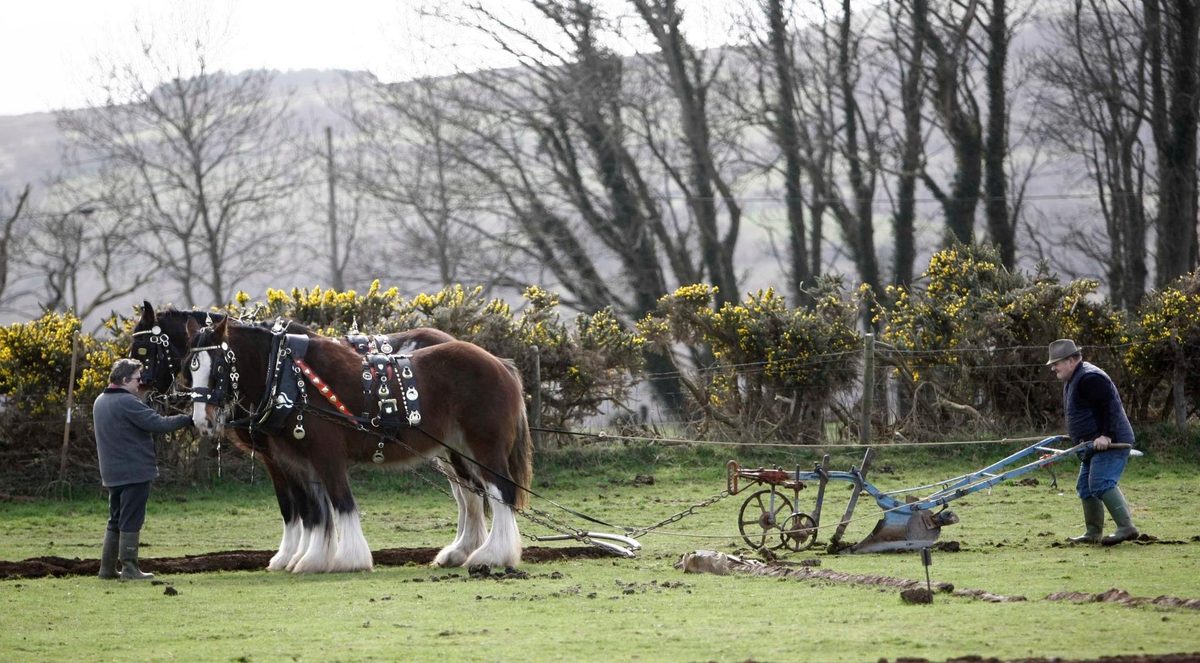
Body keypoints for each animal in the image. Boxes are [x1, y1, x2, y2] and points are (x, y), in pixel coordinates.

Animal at [130, 302, 456, 571]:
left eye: (143, 350)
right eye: (188, 368)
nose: (138, 393)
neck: (275, 371)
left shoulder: (284, 455)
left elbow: (299, 505)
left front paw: (295, 556)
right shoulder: (282, 456)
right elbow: (300, 505)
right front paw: (302, 554)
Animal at [185, 316, 533, 572]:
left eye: (218, 367)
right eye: (190, 369)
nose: (203, 421)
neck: (289, 377)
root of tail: (500, 363)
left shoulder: (326, 456)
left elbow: (341, 503)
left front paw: (348, 559)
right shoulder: (298, 462)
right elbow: (315, 512)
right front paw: (311, 559)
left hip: (484, 448)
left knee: (500, 492)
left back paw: (493, 555)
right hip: (459, 452)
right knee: (477, 494)